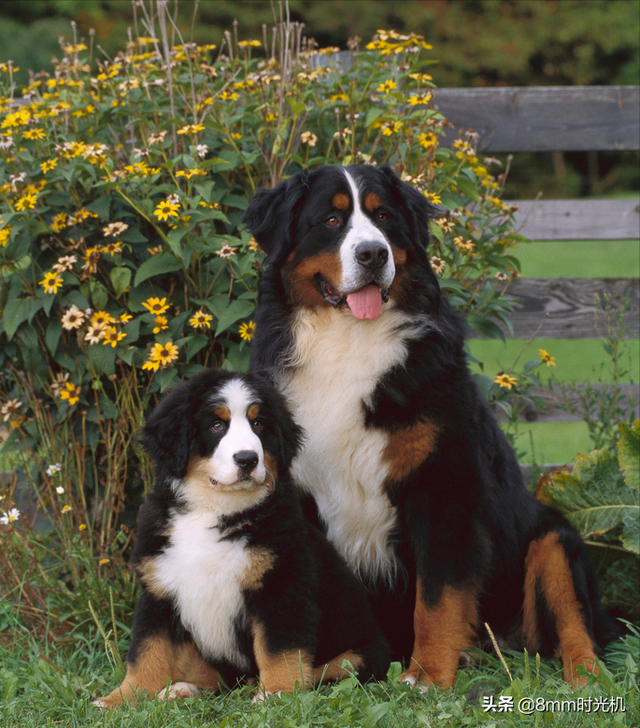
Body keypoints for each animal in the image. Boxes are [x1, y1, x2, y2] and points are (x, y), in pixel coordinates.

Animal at [92, 370, 388, 704]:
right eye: (216, 425)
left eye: (259, 424)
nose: (248, 459)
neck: (214, 509)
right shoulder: (159, 590)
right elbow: (146, 651)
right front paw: (119, 698)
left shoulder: (281, 587)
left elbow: (280, 650)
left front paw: (276, 693)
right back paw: (183, 689)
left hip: (360, 655)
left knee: (325, 672)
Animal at [244, 164, 620, 688]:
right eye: (331, 220)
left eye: (383, 216)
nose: (373, 253)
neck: (348, 343)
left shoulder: (441, 486)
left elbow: (438, 598)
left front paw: (427, 676)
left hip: (553, 540)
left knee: (576, 624)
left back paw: (580, 676)